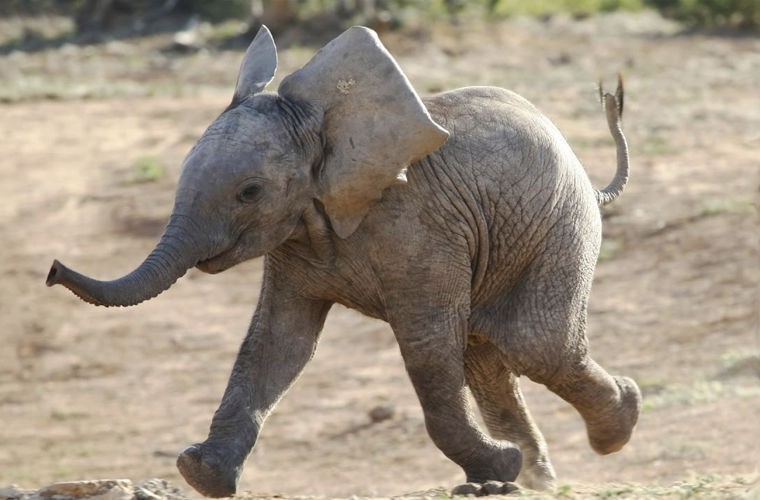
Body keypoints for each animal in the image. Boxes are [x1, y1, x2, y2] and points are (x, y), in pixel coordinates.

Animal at [46, 26, 640, 496]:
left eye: (250, 192)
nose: (52, 270)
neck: (323, 129)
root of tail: (589, 179)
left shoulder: (419, 229)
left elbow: (426, 346)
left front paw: (500, 466)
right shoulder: (295, 239)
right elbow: (279, 342)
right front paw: (200, 474)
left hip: (560, 226)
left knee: (534, 344)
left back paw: (616, 424)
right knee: (488, 354)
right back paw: (535, 478)